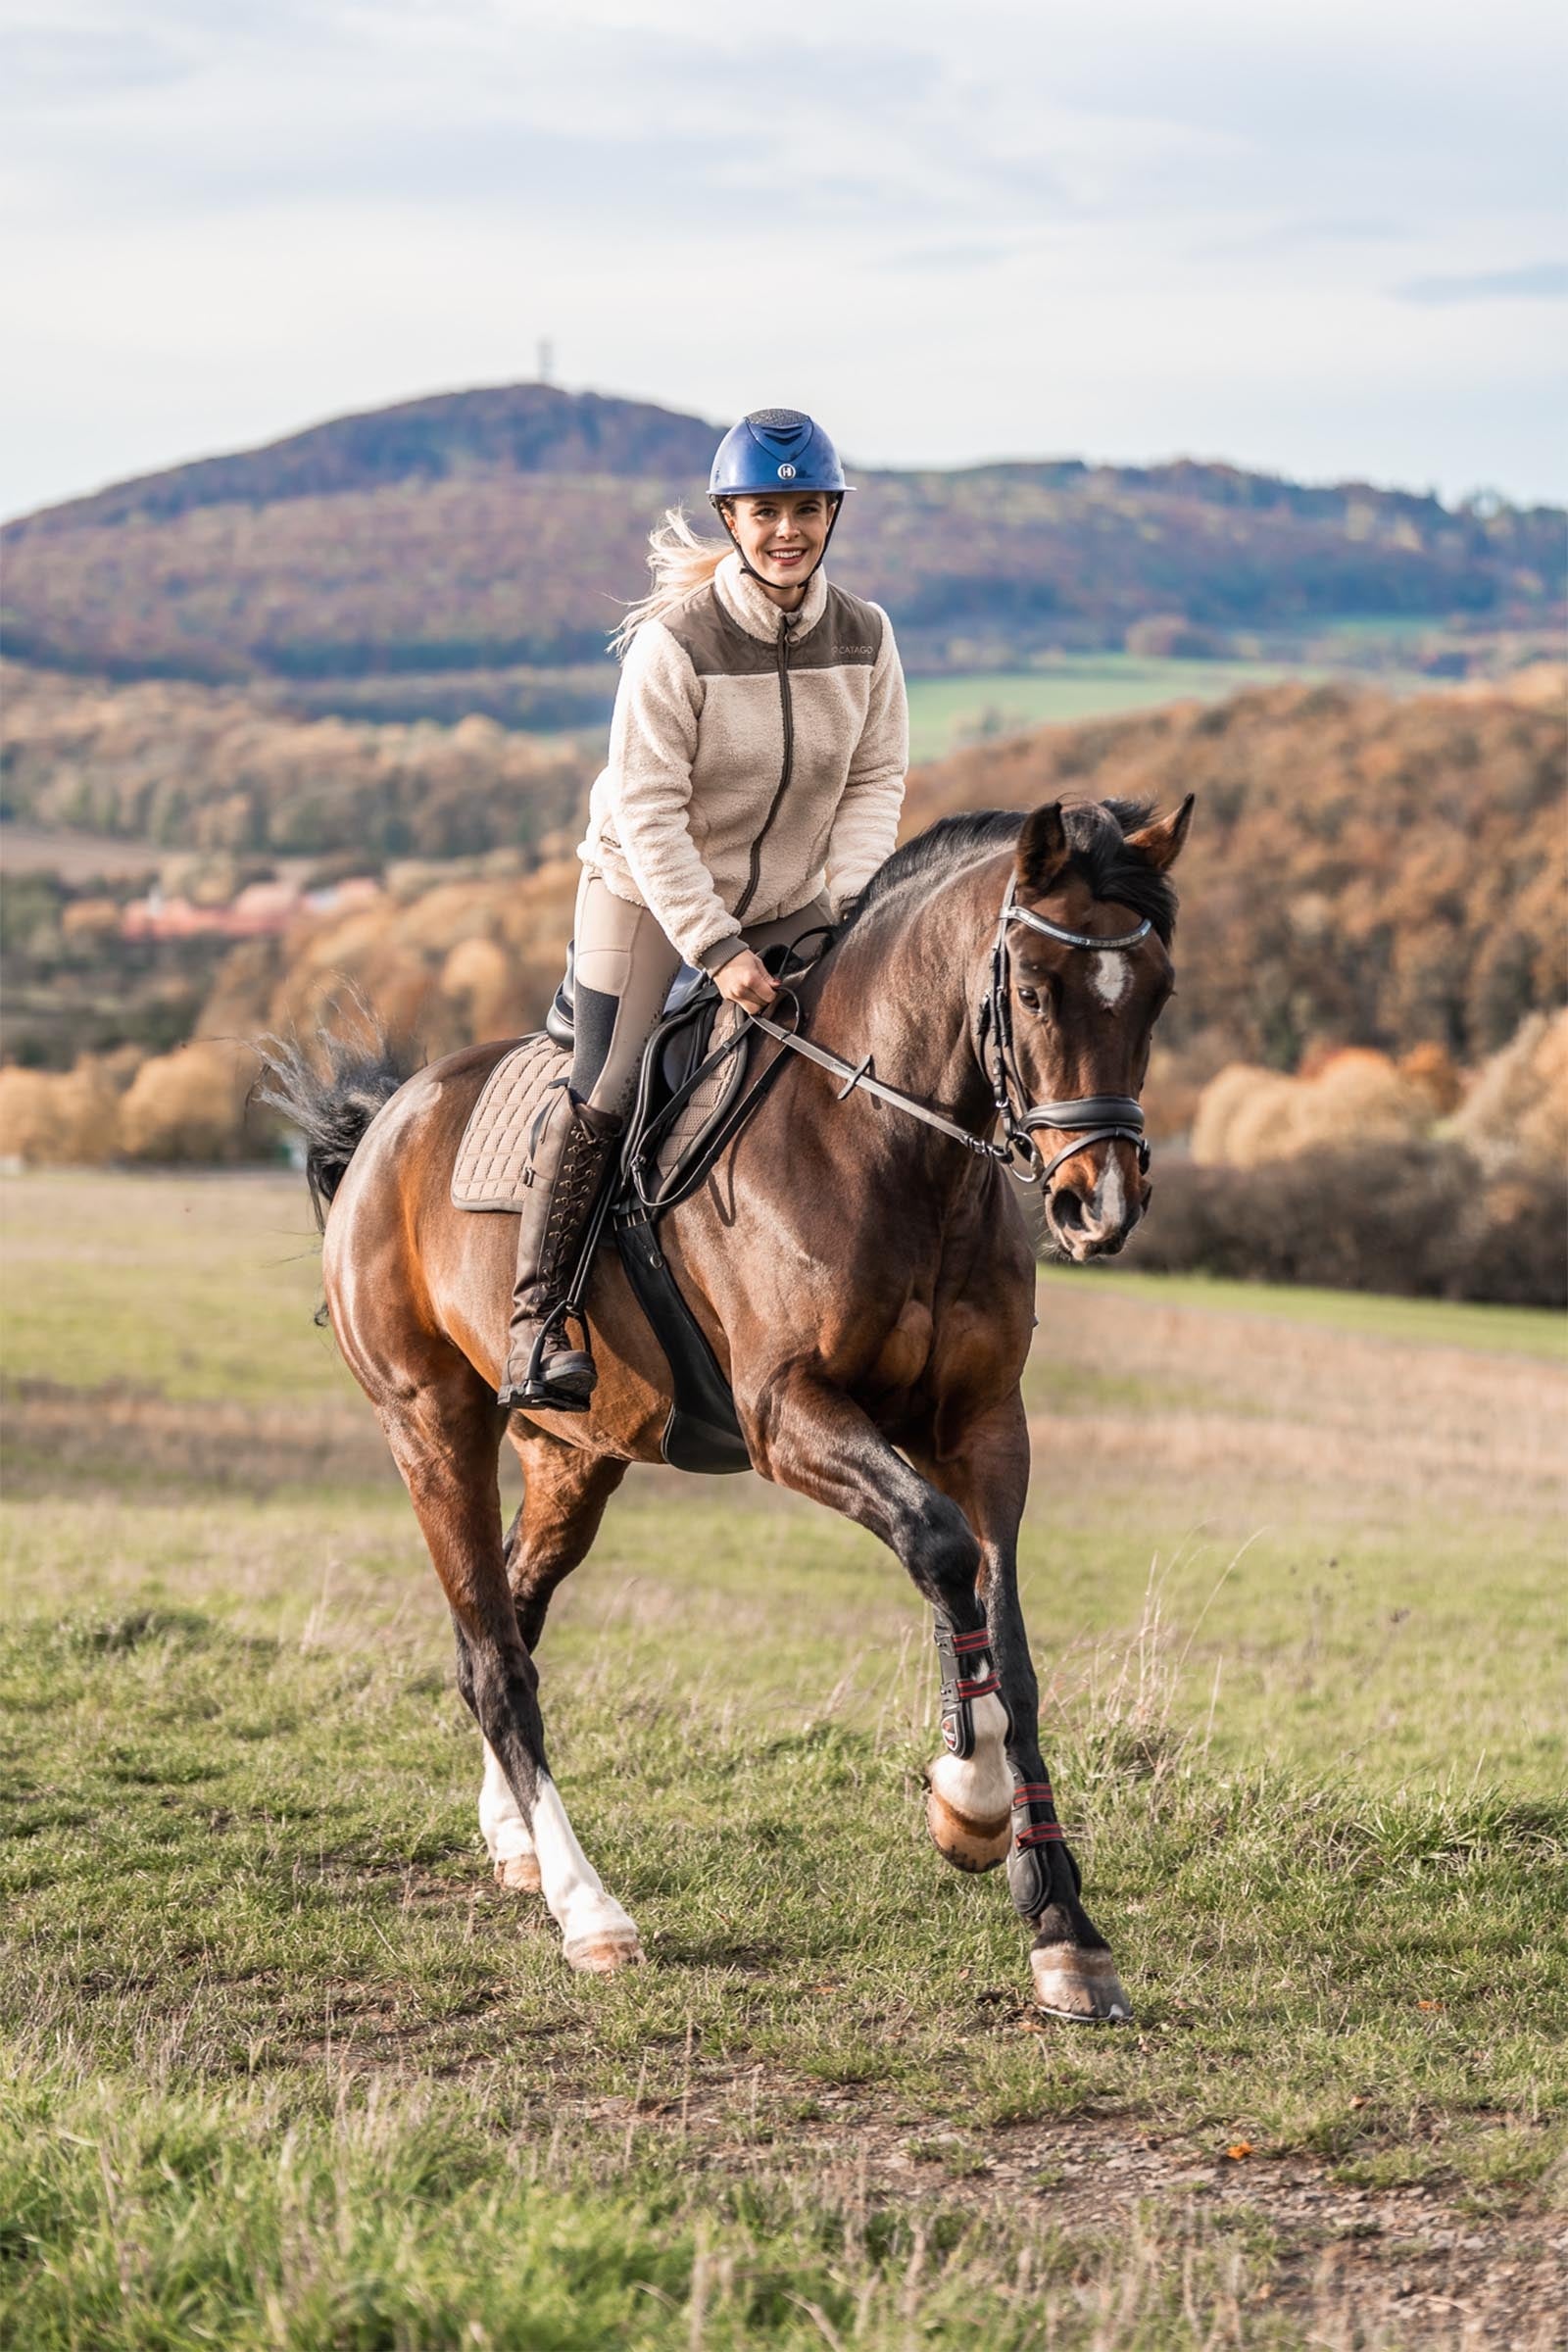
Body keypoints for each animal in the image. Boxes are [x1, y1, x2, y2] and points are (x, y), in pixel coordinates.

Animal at [261, 793, 1193, 2021]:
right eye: (1033, 989)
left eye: (1158, 991)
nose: (1100, 1205)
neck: (893, 1149)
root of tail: (388, 1121)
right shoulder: (787, 1411)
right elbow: (941, 1551)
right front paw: (969, 1801)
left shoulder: (985, 1427)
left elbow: (1004, 1637)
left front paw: (1063, 1930)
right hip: (430, 1427)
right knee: (495, 1661)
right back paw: (589, 1911)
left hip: (573, 1457)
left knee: (508, 1617)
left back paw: (515, 1842)